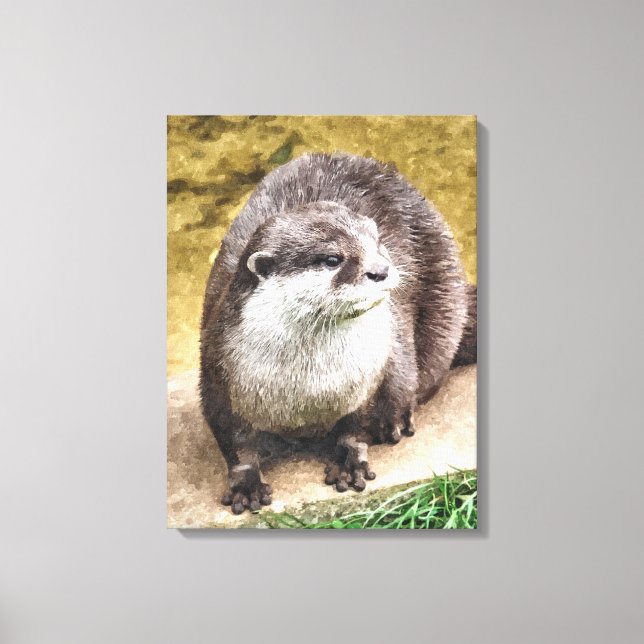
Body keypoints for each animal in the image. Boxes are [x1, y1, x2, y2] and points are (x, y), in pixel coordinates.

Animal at [200, 152, 476, 514]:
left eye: (378, 244)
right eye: (332, 259)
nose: (381, 270)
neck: (309, 388)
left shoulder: (372, 375)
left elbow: (357, 427)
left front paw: (349, 462)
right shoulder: (218, 370)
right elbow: (234, 441)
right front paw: (246, 484)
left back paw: (398, 421)